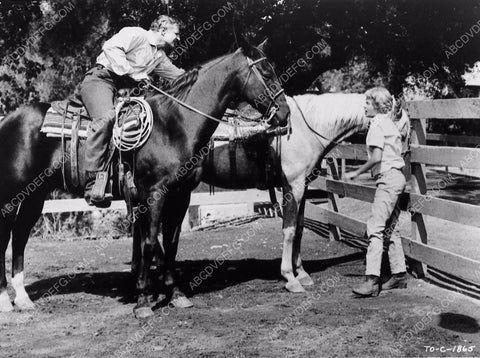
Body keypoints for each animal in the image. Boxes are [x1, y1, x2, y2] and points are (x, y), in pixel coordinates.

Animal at [0, 40, 288, 318]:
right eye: (266, 72)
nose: (284, 112)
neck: (173, 126)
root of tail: (8, 120)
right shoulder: (154, 193)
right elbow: (149, 243)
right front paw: (142, 301)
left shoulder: (180, 195)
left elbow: (170, 244)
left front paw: (175, 294)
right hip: (10, 197)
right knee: (6, 238)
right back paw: (6, 300)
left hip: (35, 195)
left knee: (21, 236)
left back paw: (23, 300)